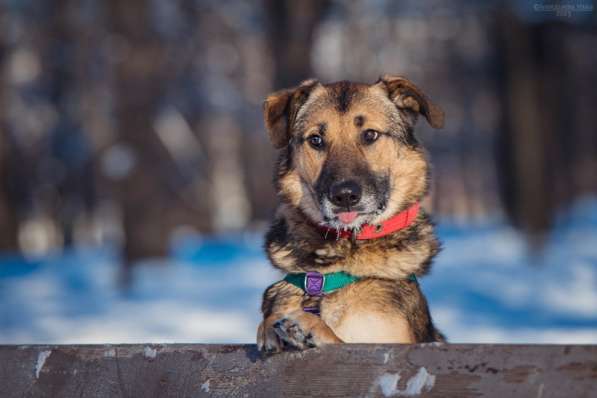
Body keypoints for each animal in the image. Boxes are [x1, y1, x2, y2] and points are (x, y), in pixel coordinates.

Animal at [258, 74, 444, 352]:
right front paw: (270, 327)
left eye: (370, 135)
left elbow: (341, 340)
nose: (344, 196)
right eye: (316, 140)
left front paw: (311, 327)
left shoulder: (392, 343)